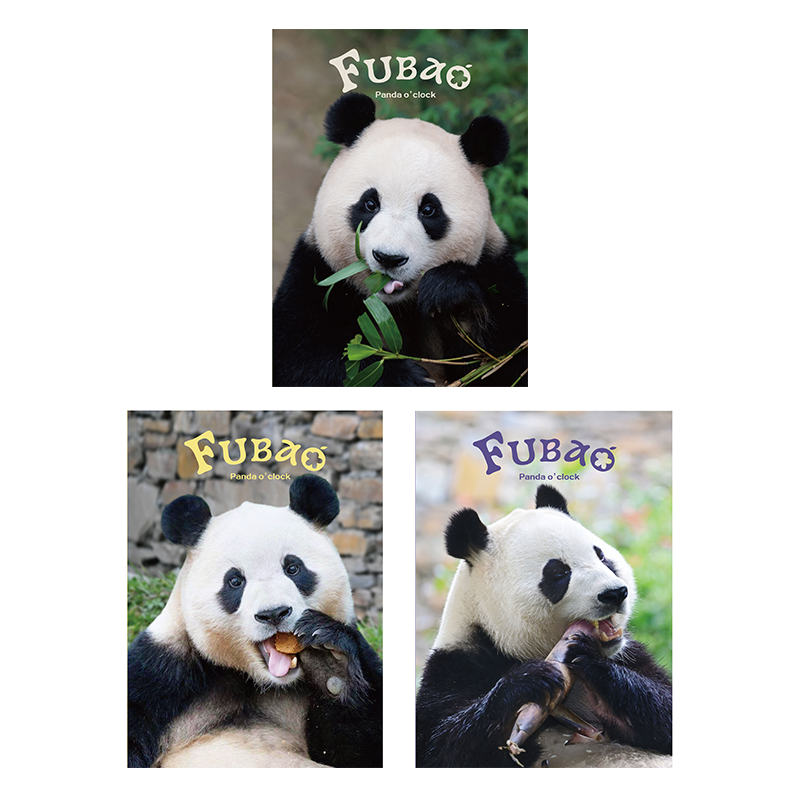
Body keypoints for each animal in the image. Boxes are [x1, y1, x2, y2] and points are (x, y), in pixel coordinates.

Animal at [128, 475, 382, 768]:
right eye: (235, 581)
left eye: (293, 568)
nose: (274, 613)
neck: (263, 681)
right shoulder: (161, 673)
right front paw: (327, 662)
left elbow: (360, 748)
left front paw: (330, 662)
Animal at [272, 93, 527, 387]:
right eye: (370, 203)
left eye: (428, 210)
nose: (389, 258)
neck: (397, 307)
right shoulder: (317, 274)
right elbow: (303, 358)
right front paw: (406, 378)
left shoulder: (495, 266)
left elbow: (507, 359)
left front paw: (451, 294)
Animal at [415, 484, 672, 768]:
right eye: (558, 572)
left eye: (602, 556)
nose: (615, 593)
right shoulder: (456, 667)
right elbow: (440, 748)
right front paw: (528, 680)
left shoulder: (631, 656)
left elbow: (664, 710)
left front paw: (587, 656)